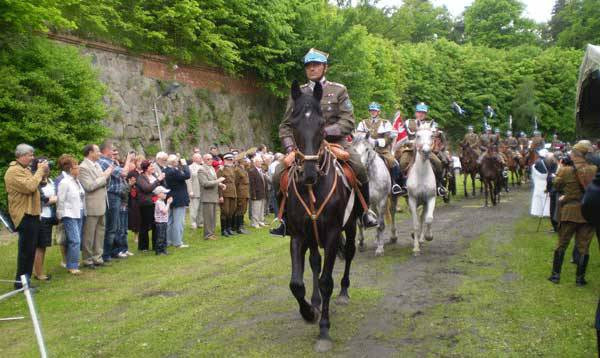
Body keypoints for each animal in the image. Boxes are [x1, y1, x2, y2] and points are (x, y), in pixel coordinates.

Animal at [284, 79, 356, 352]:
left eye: (322, 124)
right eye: (293, 124)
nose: (309, 173)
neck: (314, 188)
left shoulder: (334, 233)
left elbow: (327, 281)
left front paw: (324, 330)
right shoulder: (298, 236)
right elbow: (296, 283)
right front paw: (308, 312)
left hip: (352, 225)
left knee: (350, 253)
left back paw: (344, 293)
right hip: (313, 237)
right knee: (315, 261)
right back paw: (314, 302)